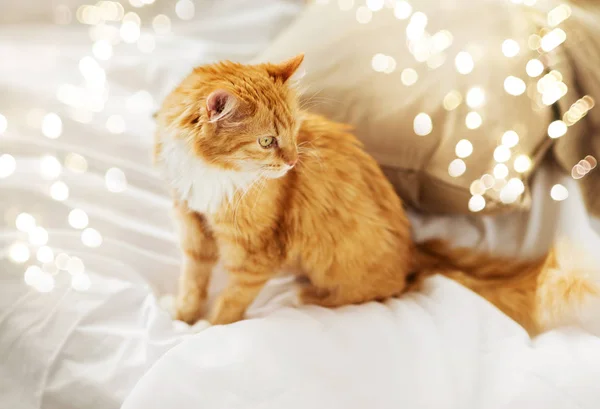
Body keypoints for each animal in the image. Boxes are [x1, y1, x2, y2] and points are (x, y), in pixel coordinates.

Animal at [155, 54, 414, 324]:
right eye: (266, 141)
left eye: (294, 130)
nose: (293, 162)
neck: (211, 174)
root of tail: (412, 259)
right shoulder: (193, 227)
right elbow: (192, 284)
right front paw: (183, 317)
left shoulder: (257, 255)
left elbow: (230, 303)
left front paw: (208, 327)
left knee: (367, 293)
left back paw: (306, 295)